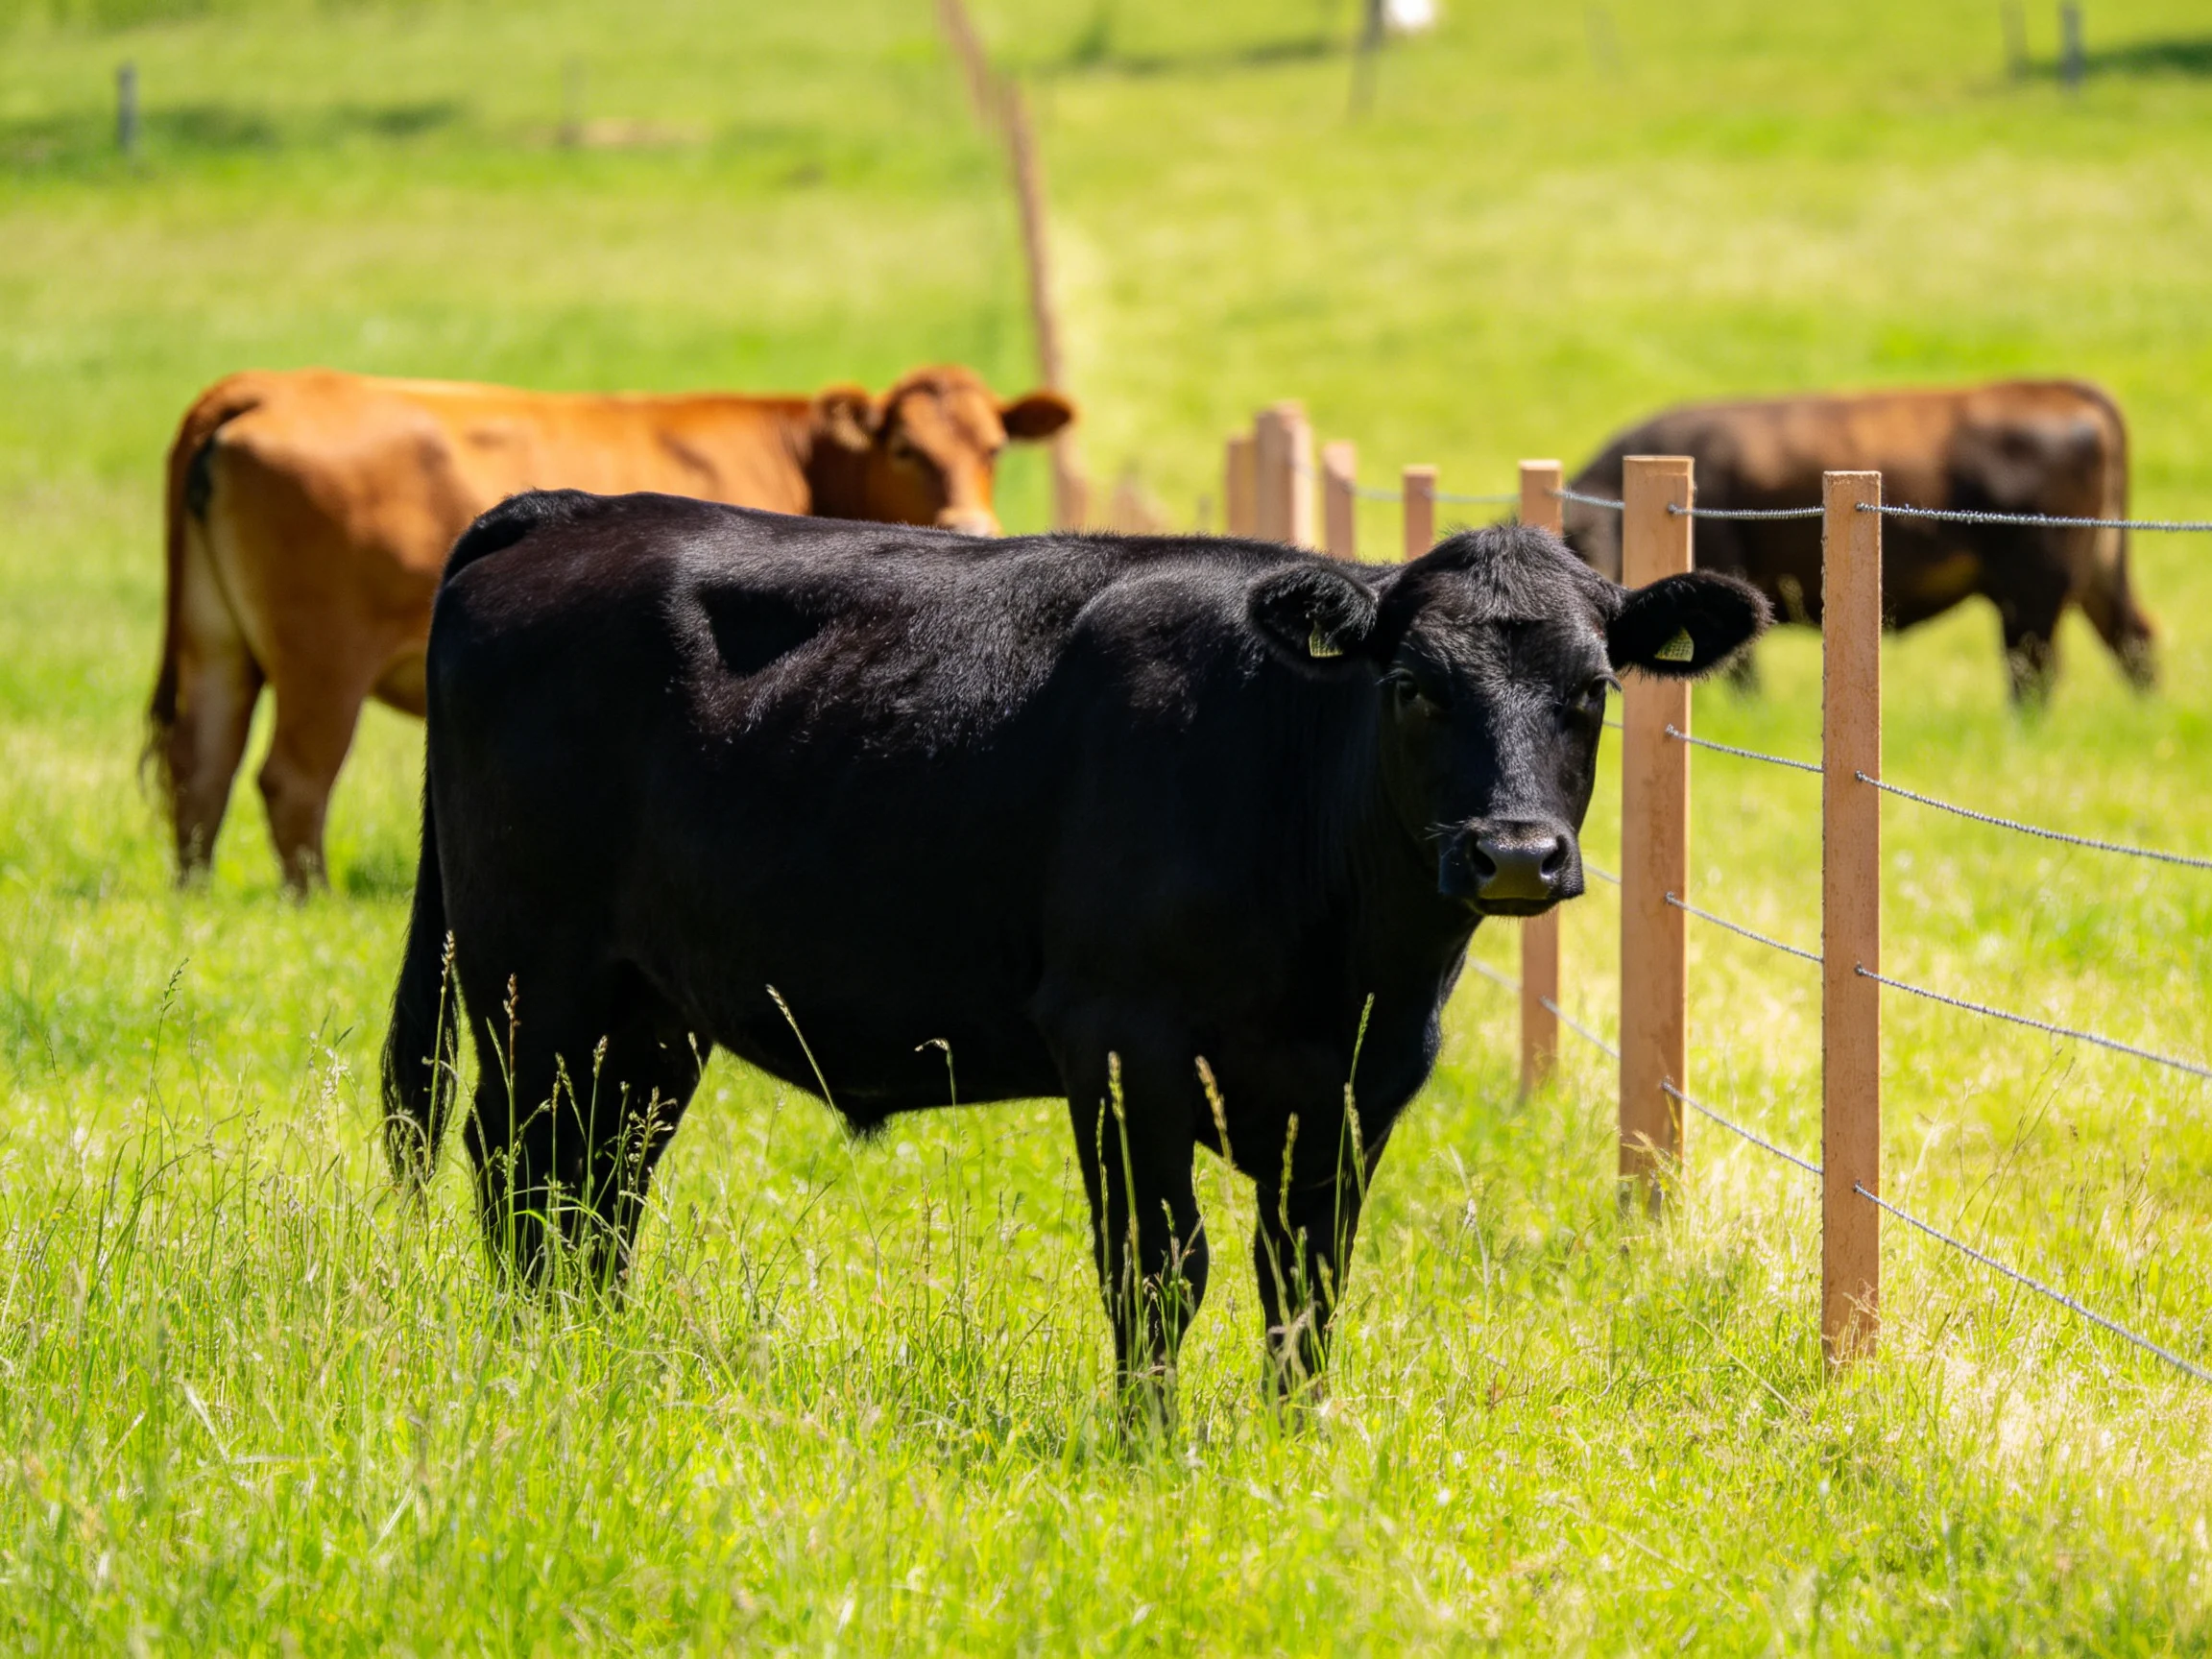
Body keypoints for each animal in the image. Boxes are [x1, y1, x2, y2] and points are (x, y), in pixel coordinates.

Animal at [145, 364, 1074, 892]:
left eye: (994, 447)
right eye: (906, 448)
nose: (972, 525)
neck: (801, 459)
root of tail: (269, 383)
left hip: (217, 646)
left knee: (201, 766)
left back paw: (195, 897)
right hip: (323, 663)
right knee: (291, 781)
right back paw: (313, 901)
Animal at [379, 489, 1767, 1407]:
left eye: (1592, 691)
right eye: (1415, 686)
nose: (1516, 854)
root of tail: (585, 509)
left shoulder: (1362, 1080)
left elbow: (1305, 1273)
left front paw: (1295, 1442)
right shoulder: (1117, 1038)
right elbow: (1160, 1265)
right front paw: (1149, 1443)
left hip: (648, 1009)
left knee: (599, 1180)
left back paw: (590, 1350)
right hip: (531, 978)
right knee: (521, 1169)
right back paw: (536, 1360)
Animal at [1561, 381, 2153, 702]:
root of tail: (2060, 390)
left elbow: (1744, 676)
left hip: (2033, 593)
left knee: (2032, 672)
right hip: (2093, 578)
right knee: (2134, 641)